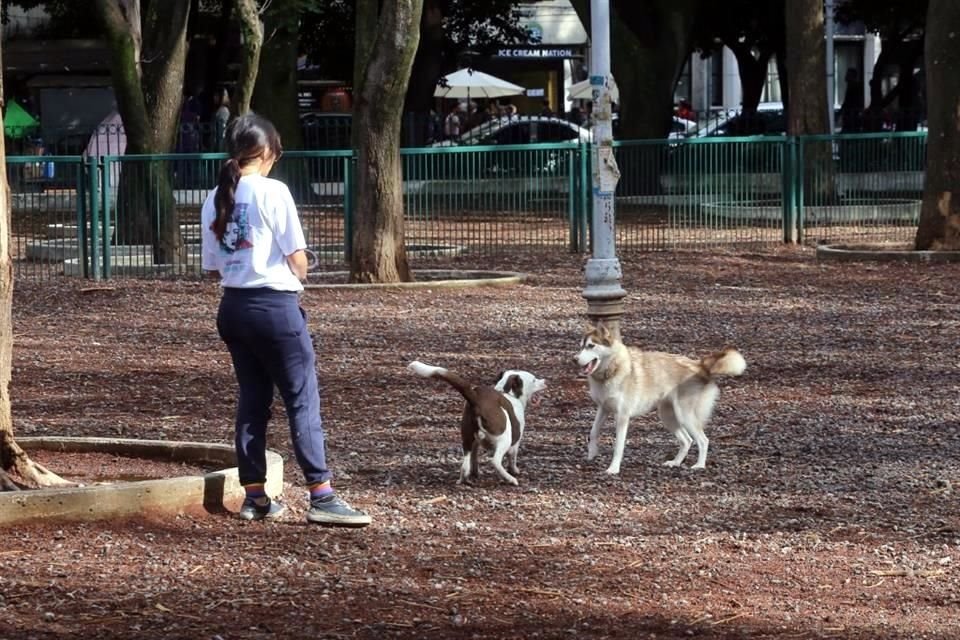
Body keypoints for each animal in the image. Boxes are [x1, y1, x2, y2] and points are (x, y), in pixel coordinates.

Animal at [406, 360, 548, 484]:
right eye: (534, 380)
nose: (545, 381)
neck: (509, 393)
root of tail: (476, 398)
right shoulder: (515, 442)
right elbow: (512, 458)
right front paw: (515, 471)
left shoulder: (475, 443)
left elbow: (474, 460)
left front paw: (475, 473)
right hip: (504, 438)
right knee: (495, 461)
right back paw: (510, 479)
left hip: (467, 438)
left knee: (465, 465)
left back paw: (464, 480)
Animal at [572, 320, 748, 476]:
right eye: (581, 346)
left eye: (591, 346)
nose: (574, 359)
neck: (612, 369)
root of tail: (700, 365)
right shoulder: (603, 409)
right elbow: (593, 432)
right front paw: (592, 454)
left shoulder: (622, 416)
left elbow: (618, 446)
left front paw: (613, 469)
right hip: (668, 417)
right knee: (686, 440)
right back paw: (675, 463)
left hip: (685, 416)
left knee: (703, 440)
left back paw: (699, 465)